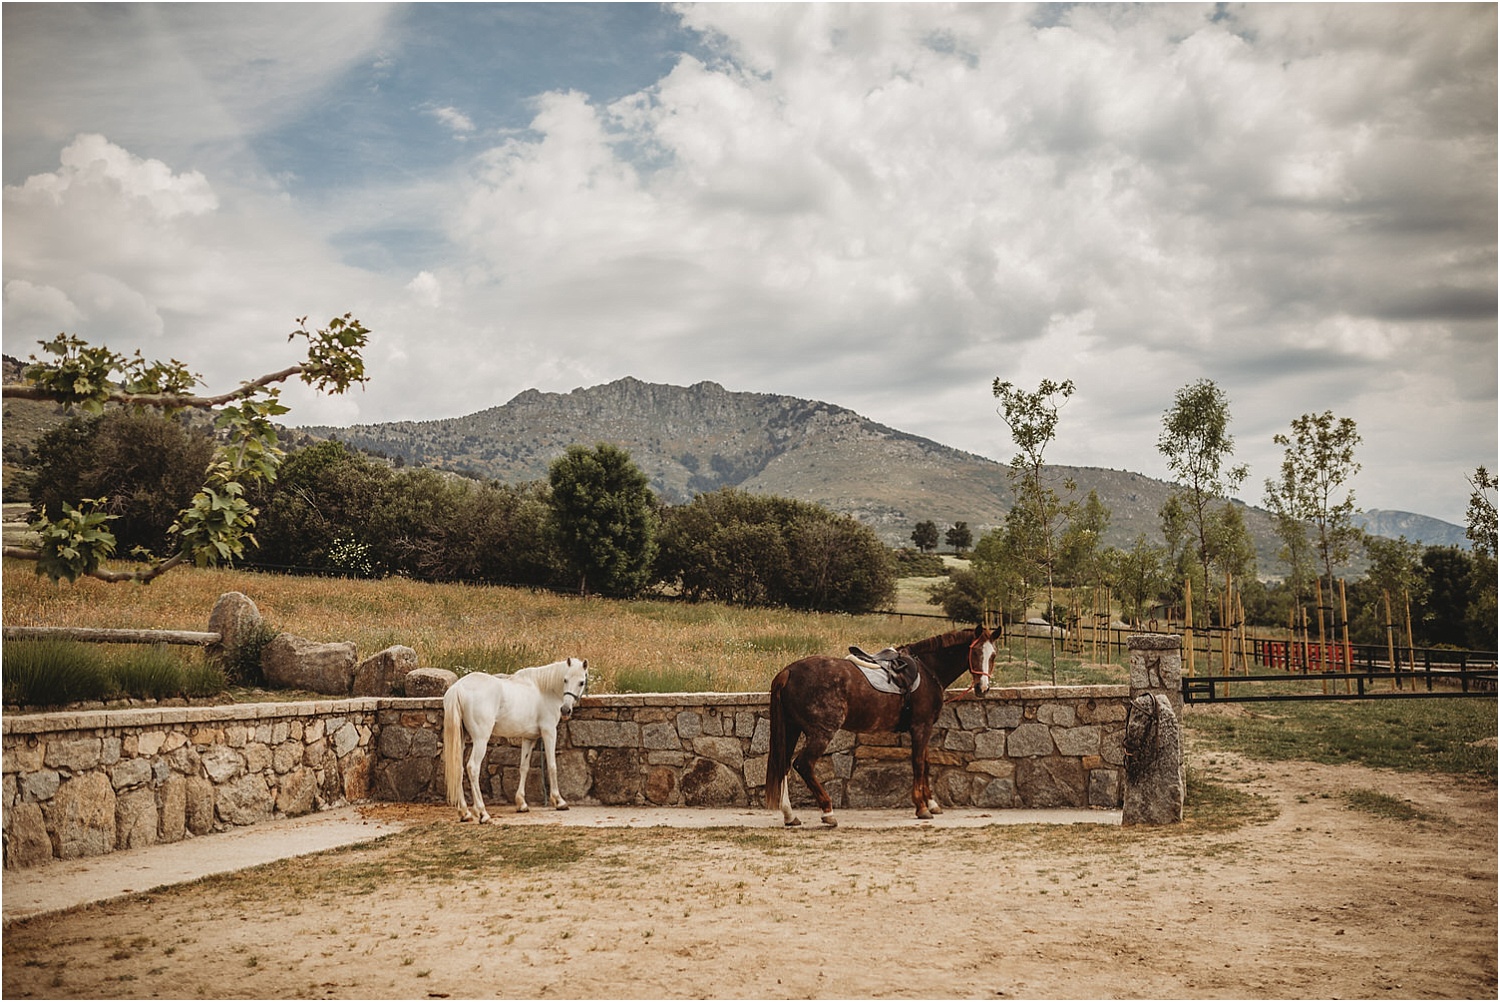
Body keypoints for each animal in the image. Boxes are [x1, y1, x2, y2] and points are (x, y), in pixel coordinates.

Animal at [442, 657, 589, 823]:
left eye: (581, 682)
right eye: (565, 679)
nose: (565, 710)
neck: (544, 690)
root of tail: (458, 688)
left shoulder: (529, 738)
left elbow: (524, 767)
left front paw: (521, 803)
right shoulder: (549, 731)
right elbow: (552, 766)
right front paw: (559, 801)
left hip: (461, 739)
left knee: (459, 768)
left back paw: (464, 813)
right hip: (481, 740)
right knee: (473, 768)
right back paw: (482, 813)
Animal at [766, 625, 994, 827]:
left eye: (992, 655)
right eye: (975, 652)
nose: (982, 688)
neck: (927, 671)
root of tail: (788, 671)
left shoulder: (925, 727)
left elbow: (926, 762)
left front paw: (931, 803)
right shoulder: (921, 727)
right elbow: (918, 764)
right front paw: (921, 807)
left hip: (792, 729)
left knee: (784, 765)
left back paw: (790, 816)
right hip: (821, 733)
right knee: (803, 764)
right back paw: (828, 812)